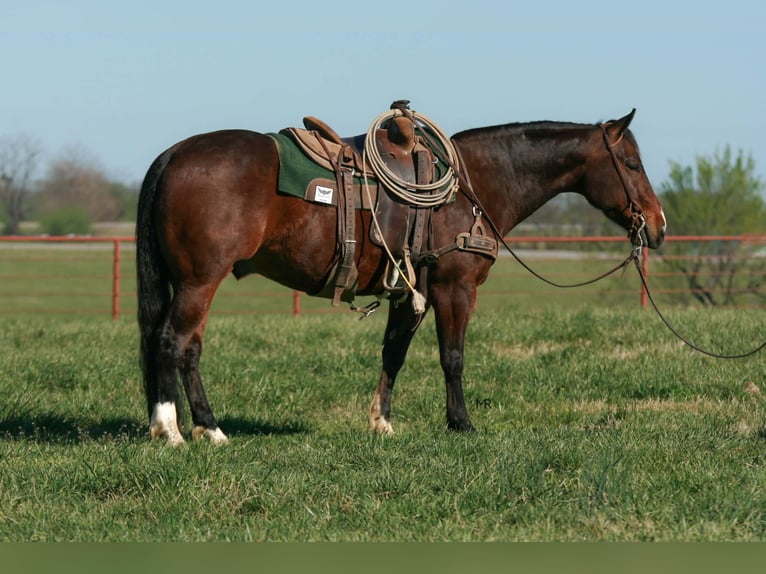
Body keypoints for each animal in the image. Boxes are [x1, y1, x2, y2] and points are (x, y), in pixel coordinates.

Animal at [136, 108, 666, 445]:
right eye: (632, 163)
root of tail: (174, 154)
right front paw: (461, 424)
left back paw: (201, 427)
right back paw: (174, 430)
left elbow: (394, 354)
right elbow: (453, 357)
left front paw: (381, 422)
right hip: (199, 281)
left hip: (196, 283)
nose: (658, 226)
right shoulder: (455, 289)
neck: (469, 187)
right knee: (171, 342)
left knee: (184, 349)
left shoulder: (409, 293)